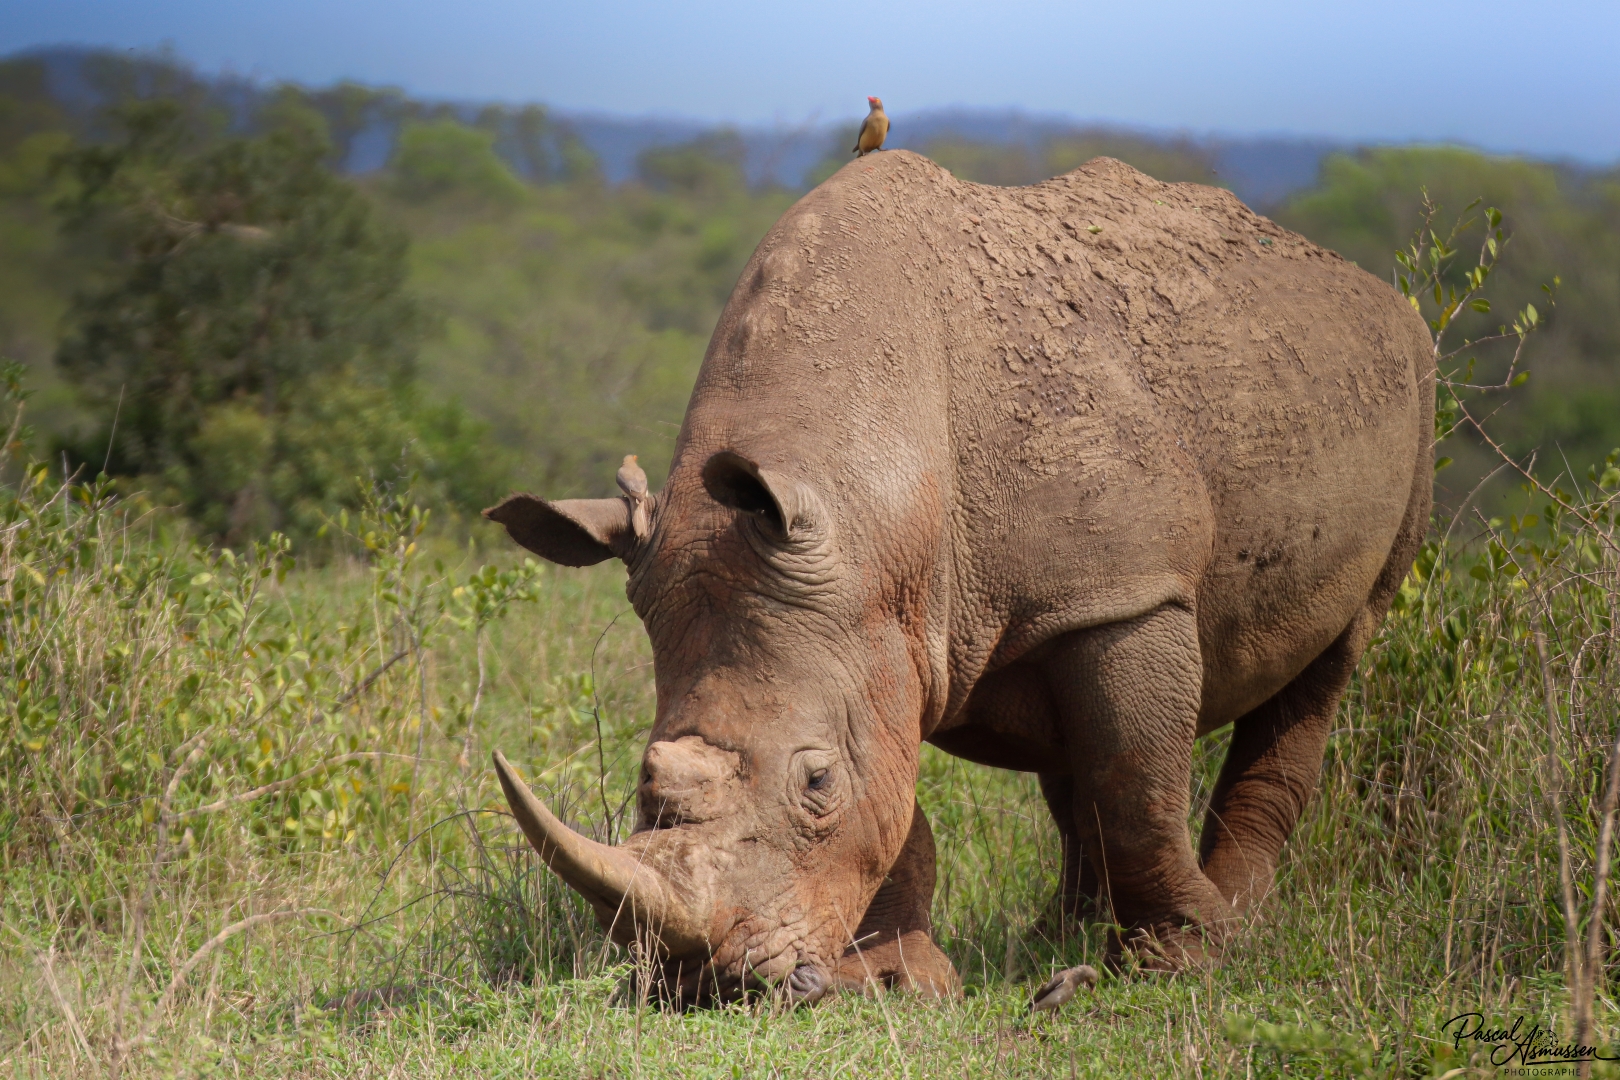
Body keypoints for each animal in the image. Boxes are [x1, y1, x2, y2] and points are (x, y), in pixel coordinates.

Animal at [485, 151, 1432, 1003]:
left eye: (816, 782)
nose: (703, 984)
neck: (873, 496)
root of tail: (1363, 283)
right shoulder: (876, 626)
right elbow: (905, 807)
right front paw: (898, 980)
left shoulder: (1125, 596)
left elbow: (1138, 785)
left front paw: (1186, 962)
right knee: (1071, 748)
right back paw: (1055, 940)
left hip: (1405, 381)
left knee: (1335, 651)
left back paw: (1229, 924)